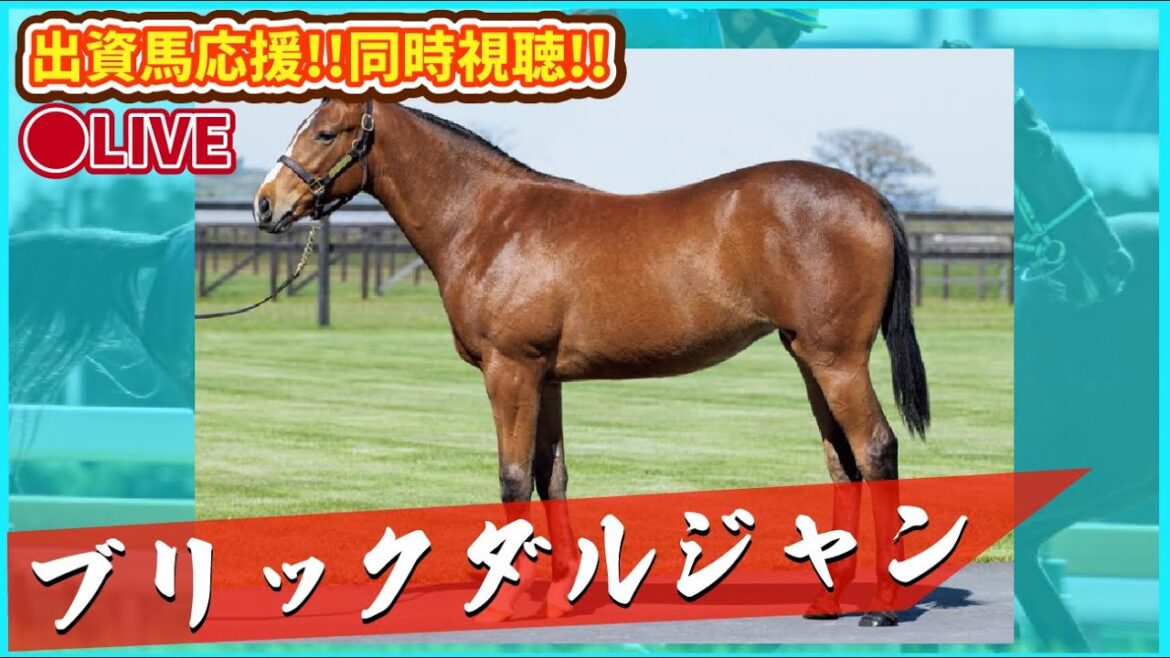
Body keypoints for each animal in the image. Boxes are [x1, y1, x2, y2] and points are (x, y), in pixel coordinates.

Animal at [254, 99, 932, 626]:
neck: (490, 223)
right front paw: (561, 597)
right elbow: (549, 477)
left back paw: (882, 606)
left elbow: (512, 479)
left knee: (875, 449)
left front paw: (506, 602)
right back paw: (829, 603)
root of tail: (870, 197)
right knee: (844, 462)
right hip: (808, 357)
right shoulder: (545, 379)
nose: (265, 205)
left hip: (838, 360)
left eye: (324, 133)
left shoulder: (510, 370)